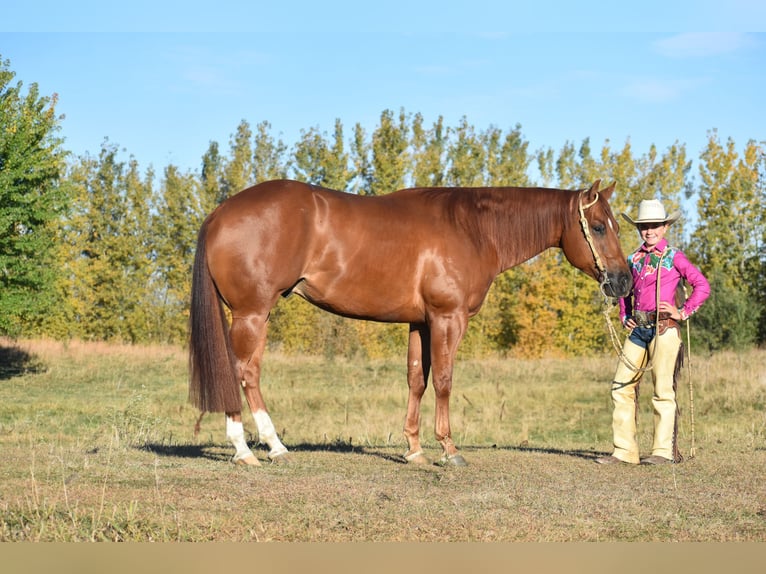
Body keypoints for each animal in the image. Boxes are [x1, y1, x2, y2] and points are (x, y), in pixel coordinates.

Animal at [188, 179, 632, 468]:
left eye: (615, 225)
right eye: (597, 227)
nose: (624, 281)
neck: (472, 229)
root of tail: (220, 212)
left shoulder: (420, 323)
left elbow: (417, 379)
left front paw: (414, 449)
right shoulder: (448, 319)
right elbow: (445, 381)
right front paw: (449, 450)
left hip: (254, 315)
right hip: (251, 314)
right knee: (242, 373)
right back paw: (254, 449)